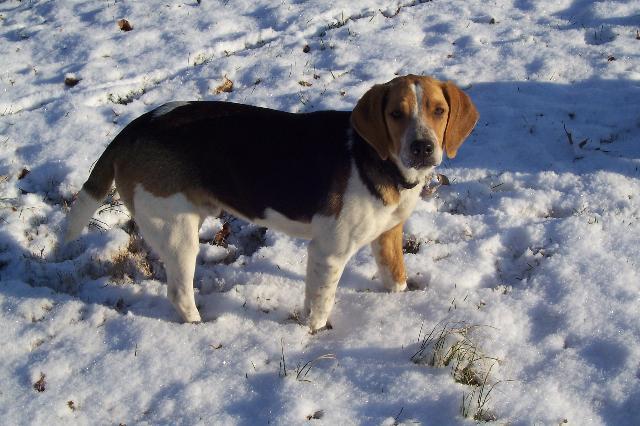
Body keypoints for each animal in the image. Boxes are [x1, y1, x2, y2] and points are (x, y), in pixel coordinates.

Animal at [64, 74, 478, 332]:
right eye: (395, 114)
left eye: (438, 111)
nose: (422, 148)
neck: (377, 160)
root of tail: (135, 126)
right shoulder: (328, 253)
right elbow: (318, 309)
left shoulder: (388, 235)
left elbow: (396, 280)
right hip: (178, 233)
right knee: (179, 293)